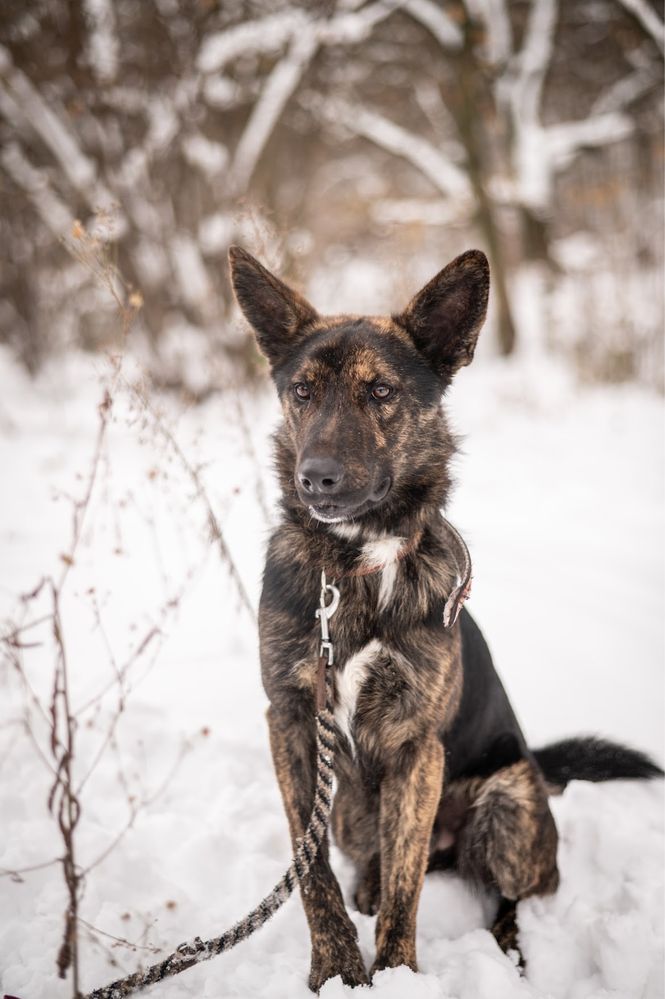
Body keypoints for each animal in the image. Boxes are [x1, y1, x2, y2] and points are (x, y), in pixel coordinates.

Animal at [227, 244, 660, 992]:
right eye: (302, 391)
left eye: (379, 392)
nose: (317, 478)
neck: (357, 565)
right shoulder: (290, 722)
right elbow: (312, 872)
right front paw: (336, 968)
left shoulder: (415, 746)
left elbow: (408, 889)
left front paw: (396, 972)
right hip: (350, 813)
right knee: (377, 861)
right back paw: (369, 886)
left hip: (506, 807)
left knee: (517, 889)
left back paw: (511, 949)